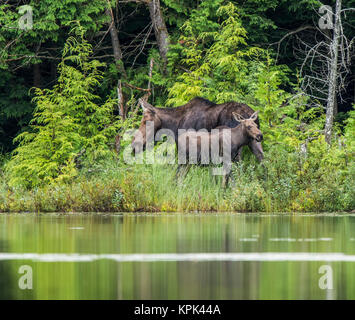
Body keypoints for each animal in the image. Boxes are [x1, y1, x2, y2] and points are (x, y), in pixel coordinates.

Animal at [131, 96, 264, 161]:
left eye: (145, 121)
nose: (134, 144)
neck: (174, 126)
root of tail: (251, 115)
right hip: (254, 139)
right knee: (262, 158)